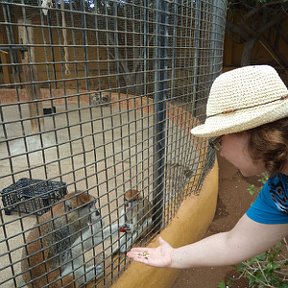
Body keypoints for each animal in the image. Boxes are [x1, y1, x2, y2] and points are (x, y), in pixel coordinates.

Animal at [0, 0, 227, 286]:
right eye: (89, 206)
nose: (97, 213)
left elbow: (118, 228)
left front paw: (114, 227)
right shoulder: (65, 233)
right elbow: (74, 250)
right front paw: (107, 227)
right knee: (70, 271)